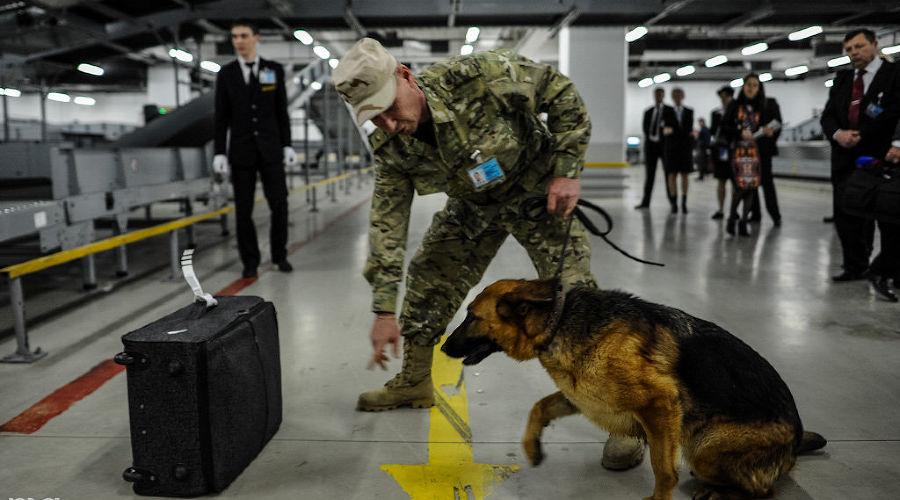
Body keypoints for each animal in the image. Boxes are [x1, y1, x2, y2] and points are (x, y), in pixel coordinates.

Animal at [440, 280, 828, 500]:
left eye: (472, 317)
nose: (442, 348)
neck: (558, 321)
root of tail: (794, 441)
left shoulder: (660, 405)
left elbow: (663, 468)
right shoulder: (584, 396)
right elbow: (540, 406)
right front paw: (532, 446)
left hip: (704, 448)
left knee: (764, 490)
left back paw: (721, 492)